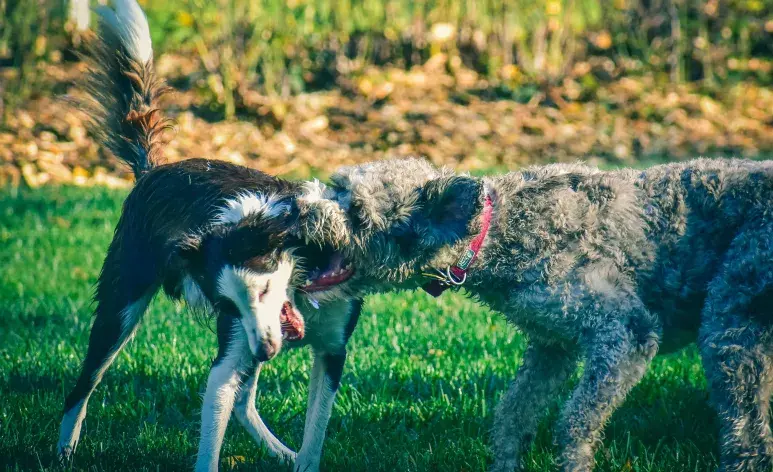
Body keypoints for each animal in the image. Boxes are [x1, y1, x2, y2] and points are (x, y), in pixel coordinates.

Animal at [57, 1, 358, 470]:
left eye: (265, 289)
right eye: (228, 304)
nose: (266, 353)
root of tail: (154, 170)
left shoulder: (329, 351)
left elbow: (314, 437)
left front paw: (300, 456)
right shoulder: (230, 353)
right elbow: (212, 432)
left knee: (244, 402)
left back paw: (279, 451)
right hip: (119, 308)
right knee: (83, 385)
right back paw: (64, 450)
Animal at [294, 159, 772, 472]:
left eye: (357, 212)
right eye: (335, 186)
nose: (298, 208)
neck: (496, 232)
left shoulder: (624, 335)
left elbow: (575, 422)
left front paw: (574, 465)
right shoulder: (550, 345)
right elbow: (513, 414)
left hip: (730, 328)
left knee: (747, 432)